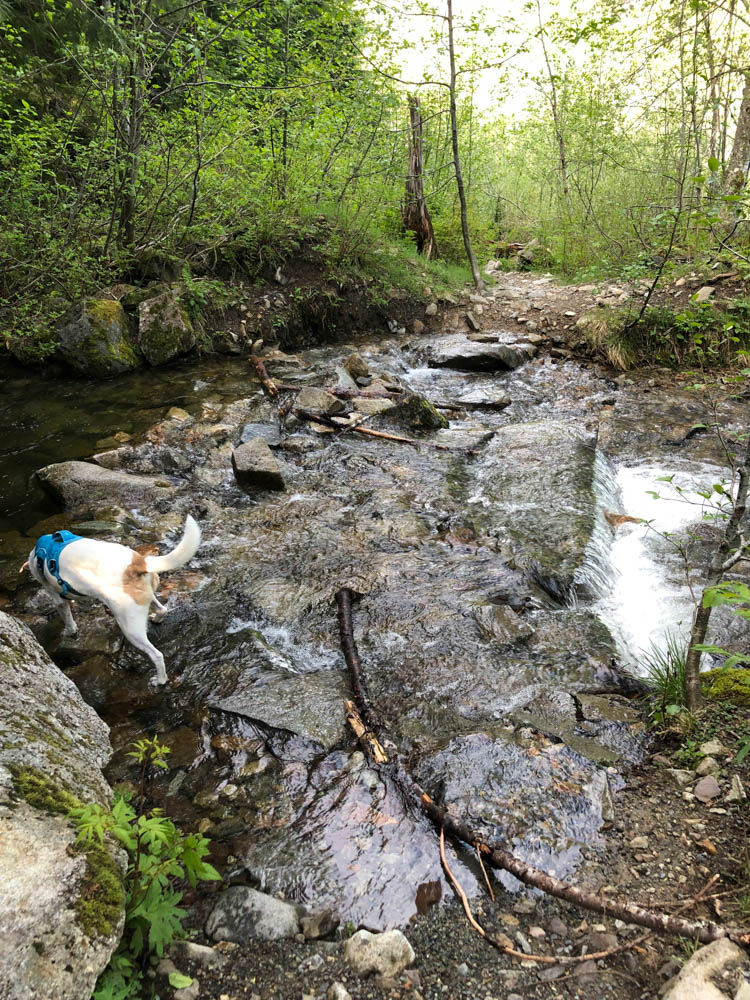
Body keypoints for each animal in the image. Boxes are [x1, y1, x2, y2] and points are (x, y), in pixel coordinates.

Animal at [22, 516, 201, 688]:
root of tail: (138, 563)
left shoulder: (58, 599)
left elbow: (68, 619)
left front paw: (69, 631)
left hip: (130, 628)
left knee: (157, 655)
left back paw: (160, 680)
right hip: (145, 598)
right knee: (162, 609)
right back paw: (157, 618)